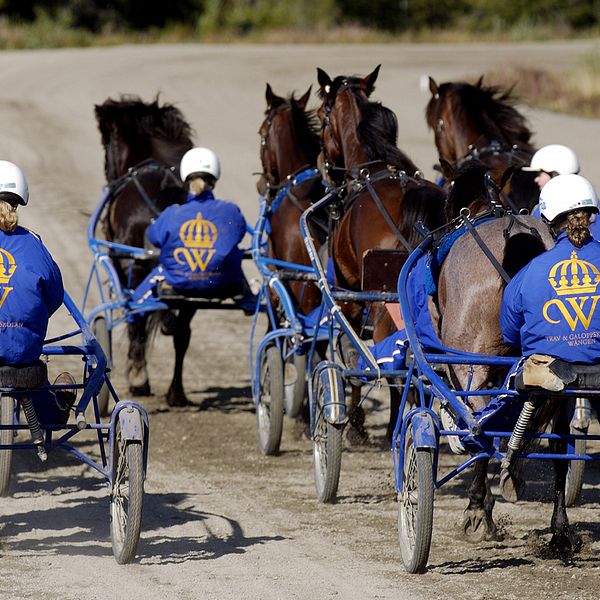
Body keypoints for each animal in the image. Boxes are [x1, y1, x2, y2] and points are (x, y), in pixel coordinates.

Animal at [94, 96, 195, 406]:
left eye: (106, 142)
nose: (108, 175)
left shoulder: (124, 266)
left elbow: (133, 320)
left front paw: (138, 379)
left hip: (134, 268)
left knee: (138, 319)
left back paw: (140, 378)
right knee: (182, 333)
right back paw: (176, 392)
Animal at [316, 65, 448, 442]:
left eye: (320, 116)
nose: (323, 164)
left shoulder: (350, 295)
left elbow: (357, 360)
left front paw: (356, 425)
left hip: (380, 305)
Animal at [432, 159, 584, 552]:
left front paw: (480, 505)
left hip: (472, 360)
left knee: (478, 427)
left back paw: (477, 509)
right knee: (559, 444)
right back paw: (558, 528)